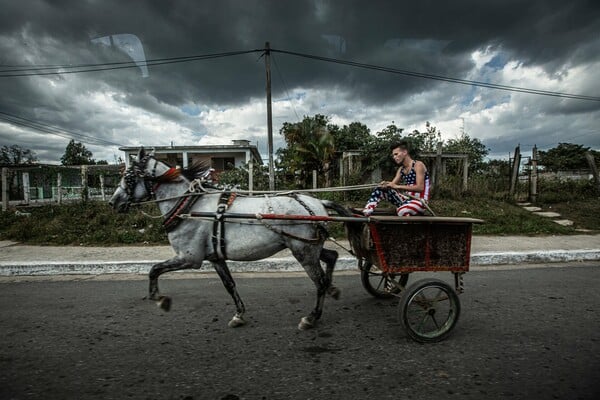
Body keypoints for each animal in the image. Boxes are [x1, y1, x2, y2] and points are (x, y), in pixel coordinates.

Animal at [109, 148, 340, 330]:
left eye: (128, 177)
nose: (113, 202)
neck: (189, 207)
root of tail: (319, 203)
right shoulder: (215, 257)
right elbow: (229, 285)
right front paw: (239, 315)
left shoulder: (189, 258)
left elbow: (154, 269)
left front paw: (159, 298)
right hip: (309, 247)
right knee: (332, 256)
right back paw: (332, 290)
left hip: (303, 251)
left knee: (319, 281)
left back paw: (312, 317)